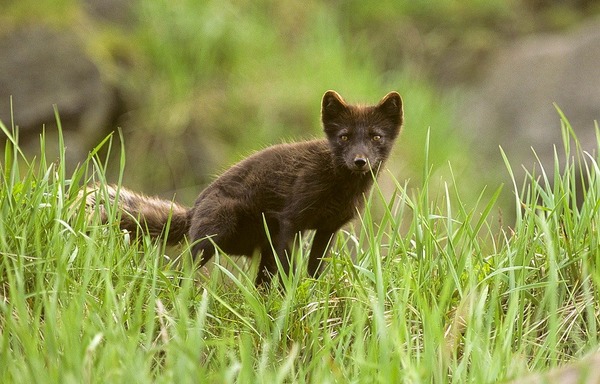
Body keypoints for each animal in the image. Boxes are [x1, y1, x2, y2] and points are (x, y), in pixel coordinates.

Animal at [88, 91, 404, 284]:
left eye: (376, 137)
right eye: (344, 136)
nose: (360, 161)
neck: (339, 189)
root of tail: (194, 209)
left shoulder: (328, 228)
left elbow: (314, 269)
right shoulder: (291, 220)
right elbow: (289, 270)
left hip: (261, 245)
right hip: (216, 231)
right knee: (181, 270)